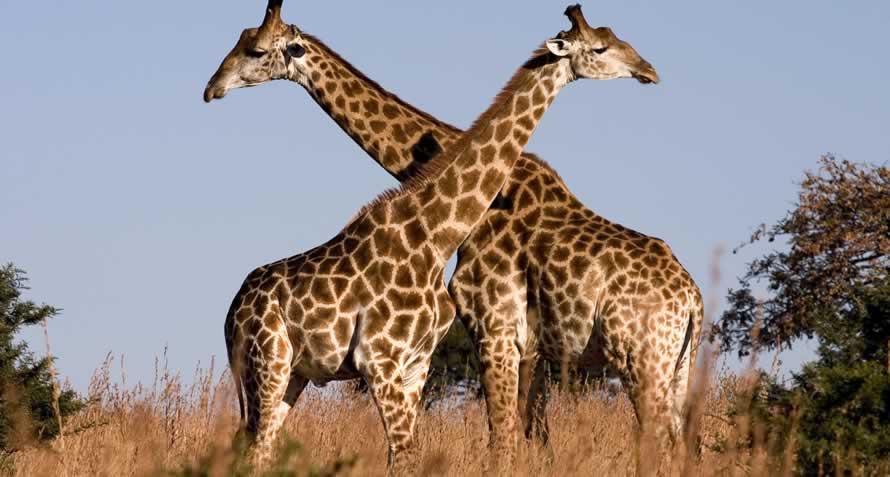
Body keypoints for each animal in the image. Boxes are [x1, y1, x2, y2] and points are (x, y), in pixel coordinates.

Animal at [205, 2, 679, 472]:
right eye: (602, 46)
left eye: (254, 49)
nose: (212, 88)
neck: (434, 231)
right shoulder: (412, 355)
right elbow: (494, 444)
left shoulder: (433, 356)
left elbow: (474, 446)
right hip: (270, 365)